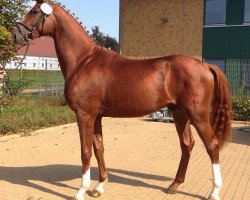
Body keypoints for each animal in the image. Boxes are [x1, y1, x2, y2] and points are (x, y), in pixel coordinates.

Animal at [12, 0, 232, 199]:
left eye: (34, 11)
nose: (15, 35)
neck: (84, 61)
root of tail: (204, 65)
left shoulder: (84, 115)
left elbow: (85, 151)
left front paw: (81, 191)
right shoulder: (96, 116)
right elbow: (99, 148)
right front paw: (99, 187)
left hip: (197, 114)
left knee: (212, 145)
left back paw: (214, 192)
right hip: (179, 113)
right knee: (187, 144)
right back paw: (175, 185)